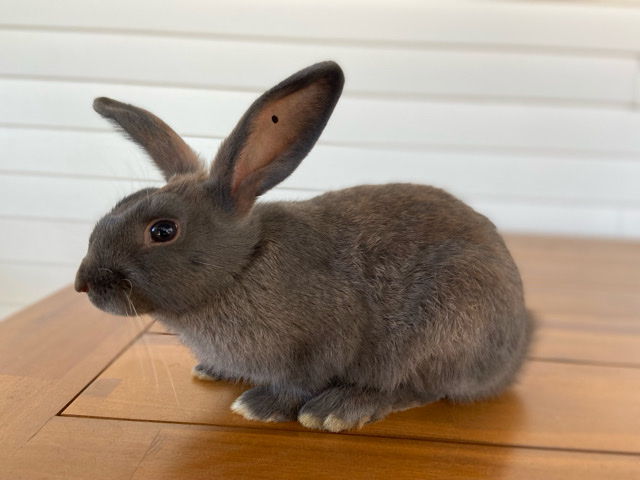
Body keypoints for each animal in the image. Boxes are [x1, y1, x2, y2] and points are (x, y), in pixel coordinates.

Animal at [75, 61, 533, 432]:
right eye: (121, 203)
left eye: (163, 230)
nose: (84, 284)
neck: (243, 266)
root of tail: (515, 352)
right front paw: (213, 369)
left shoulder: (325, 338)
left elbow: (301, 380)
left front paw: (259, 407)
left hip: (447, 321)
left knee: (417, 388)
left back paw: (336, 409)